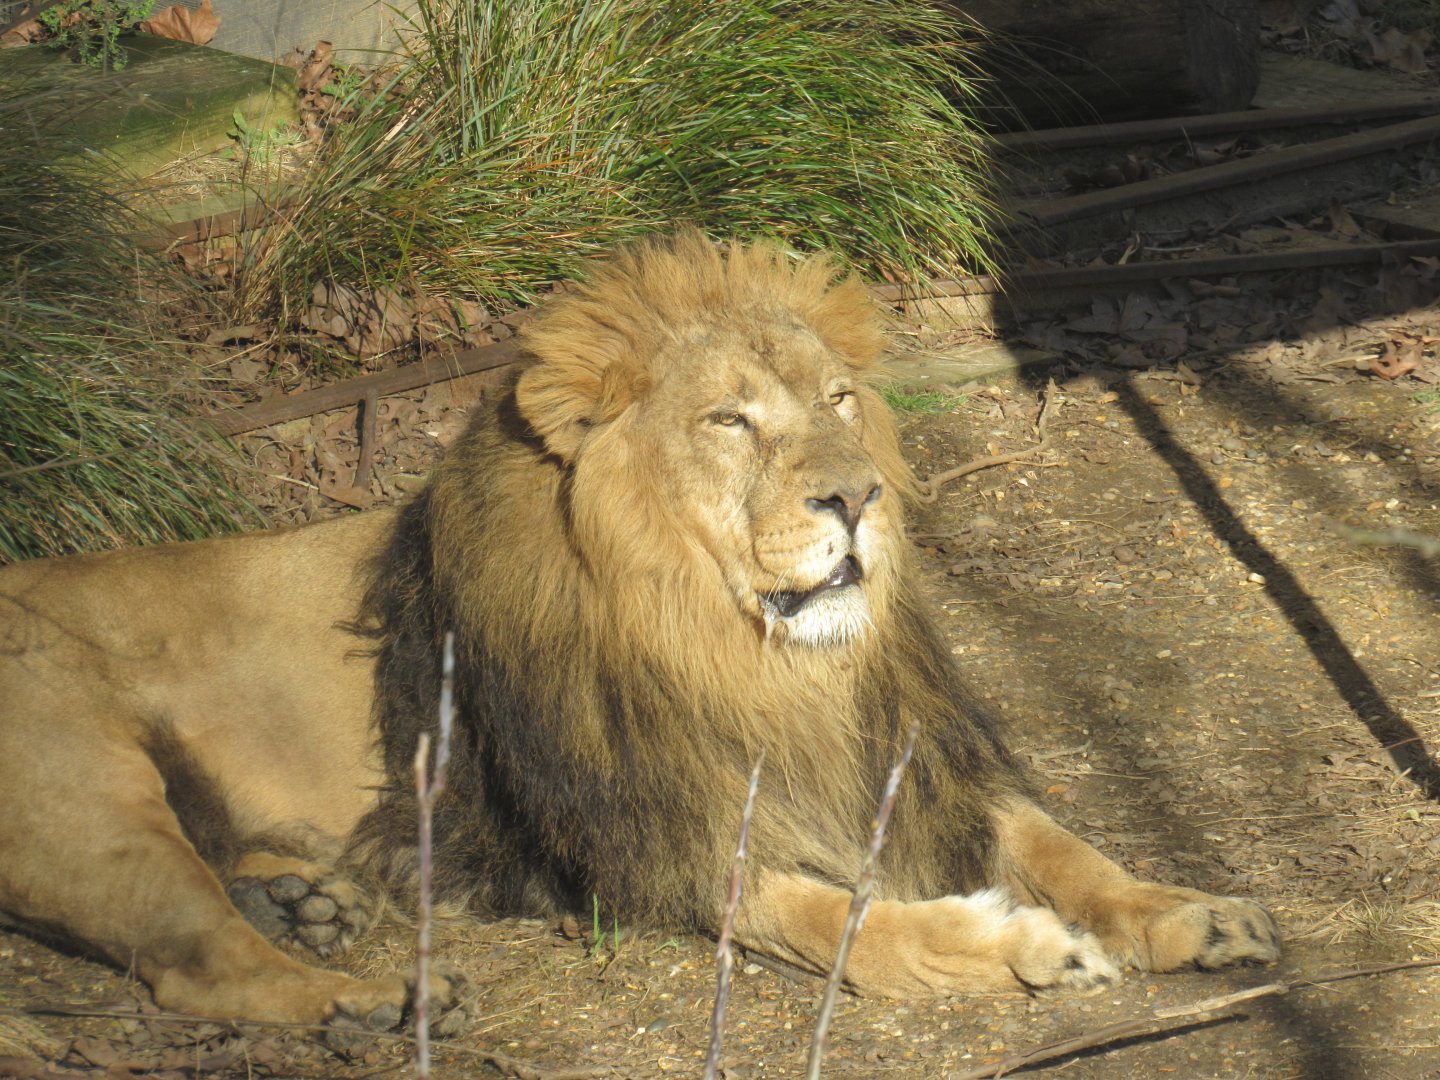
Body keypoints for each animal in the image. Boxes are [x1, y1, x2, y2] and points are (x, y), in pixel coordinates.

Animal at [0, 230, 1279, 1027]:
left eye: (840, 399)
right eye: (730, 420)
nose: (860, 495)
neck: (752, 659)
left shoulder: (910, 762)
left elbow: (1062, 844)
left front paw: (1187, 912)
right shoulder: (653, 844)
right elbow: (850, 922)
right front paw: (1027, 948)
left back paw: (309, 908)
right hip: (95, 799)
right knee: (193, 968)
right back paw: (376, 1001)